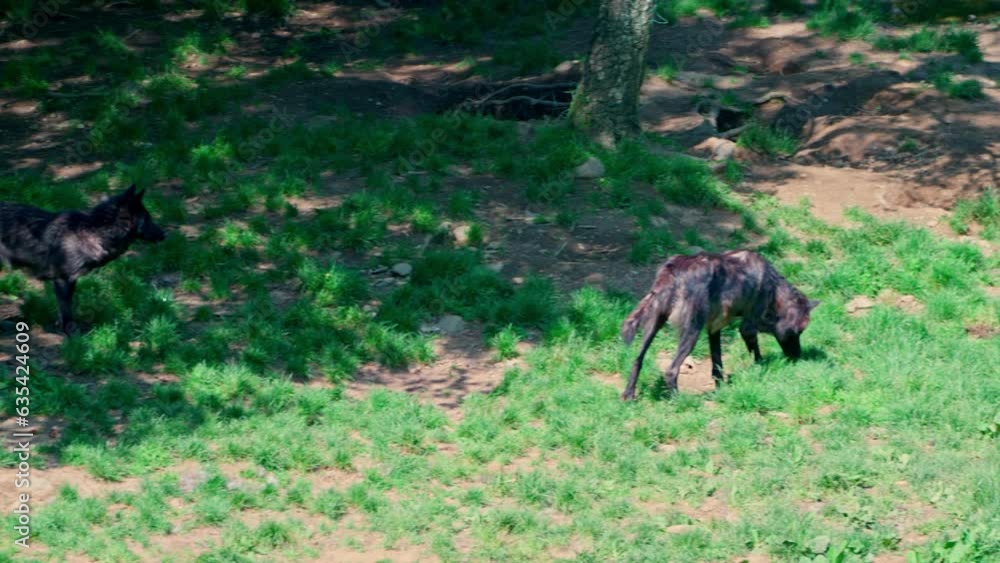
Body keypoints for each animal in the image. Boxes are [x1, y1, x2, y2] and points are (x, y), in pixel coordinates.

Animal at [0, 184, 166, 334]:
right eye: (148, 220)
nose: (165, 234)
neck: (93, 232)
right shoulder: (62, 280)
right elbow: (66, 311)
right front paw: (72, 334)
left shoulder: (71, 281)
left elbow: (65, 309)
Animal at [620, 250, 818, 401]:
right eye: (798, 332)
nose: (798, 356)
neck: (774, 289)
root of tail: (674, 268)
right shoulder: (747, 327)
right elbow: (755, 350)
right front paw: (760, 366)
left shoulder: (714, 329)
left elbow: (717, 364)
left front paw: (721, 387)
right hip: (691, 333)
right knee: (671, 370)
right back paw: (679, 401)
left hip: (653, 328)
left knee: (637, 359)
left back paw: (628, 394)